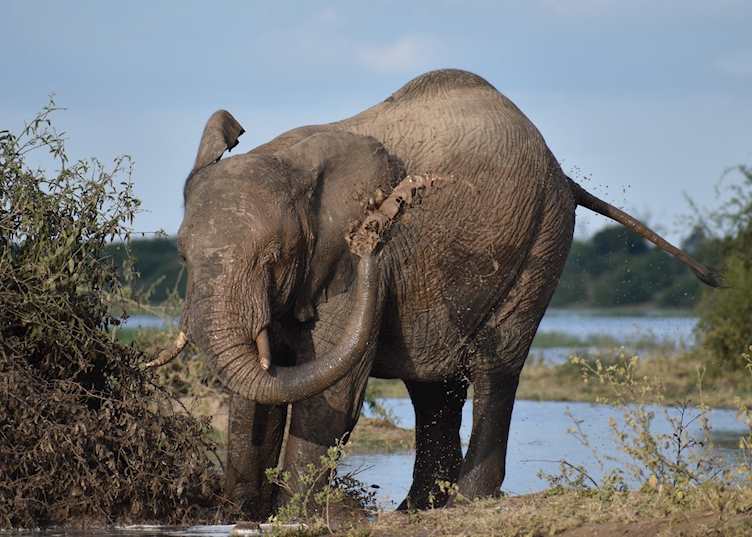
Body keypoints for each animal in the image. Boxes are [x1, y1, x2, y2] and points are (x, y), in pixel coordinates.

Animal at [152, 69, 719, 517]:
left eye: (272, 258)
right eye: (182, 257)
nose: (387, 217)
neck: (288, 161)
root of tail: (562, 172)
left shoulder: (341, 268)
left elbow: (329, 392)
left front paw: (296, 518)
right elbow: (260, 392)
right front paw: (241, 516)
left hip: (541, 237)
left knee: (495, 365)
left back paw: (467, 502)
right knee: (432, 385)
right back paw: (417, 509)